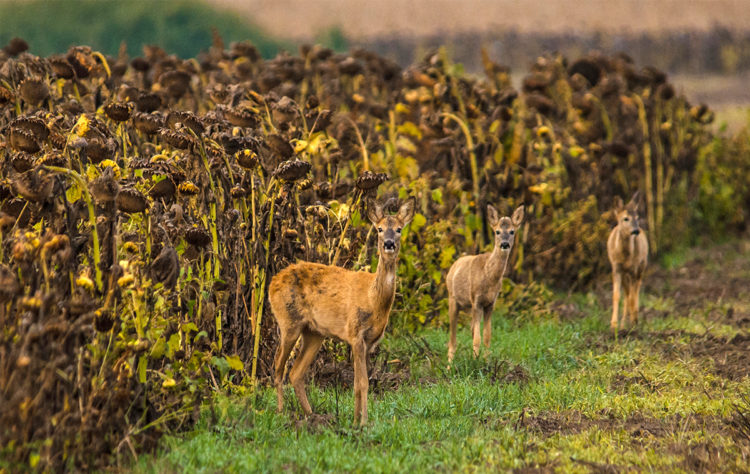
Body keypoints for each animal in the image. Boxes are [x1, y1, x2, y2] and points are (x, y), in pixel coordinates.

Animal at [268, 196, 418, 426]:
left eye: (399, 229)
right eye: (380, 229)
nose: (389, 244)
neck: (374, 300)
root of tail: (272, 283)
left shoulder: (370, 342)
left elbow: (362, 382)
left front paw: (358, 420)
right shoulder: (355, 333)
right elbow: (361, 382)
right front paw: (362, 423)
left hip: (314, 333)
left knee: (295, 373)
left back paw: (313, 416)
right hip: (288, 321)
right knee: (278, 368)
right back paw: (282, 413)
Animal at [446, 203, 524, 362]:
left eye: (512, 231)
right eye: (497, 231)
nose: (505, 244)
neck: (489, 277)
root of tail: (453, 266)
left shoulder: (490, 303)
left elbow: (487, 336)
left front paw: (486, 361)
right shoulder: (476, 300)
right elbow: (477, 338)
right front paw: (476, 362)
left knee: (469, 330)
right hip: (452, 299)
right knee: (452, 339)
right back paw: (449, 364)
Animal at [608, 191, 648, 332]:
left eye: (637, 217)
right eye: (625, 218)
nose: (636, 230)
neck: (624, 256)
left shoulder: (633, 269)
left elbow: (632, 296)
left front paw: (633, 322)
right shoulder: (616, 268)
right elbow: (616, 295)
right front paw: (614, 325)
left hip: (641, 266)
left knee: (636, 290)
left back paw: (634, 320)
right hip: (625, 274)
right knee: (627, 293)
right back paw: (623, 324)